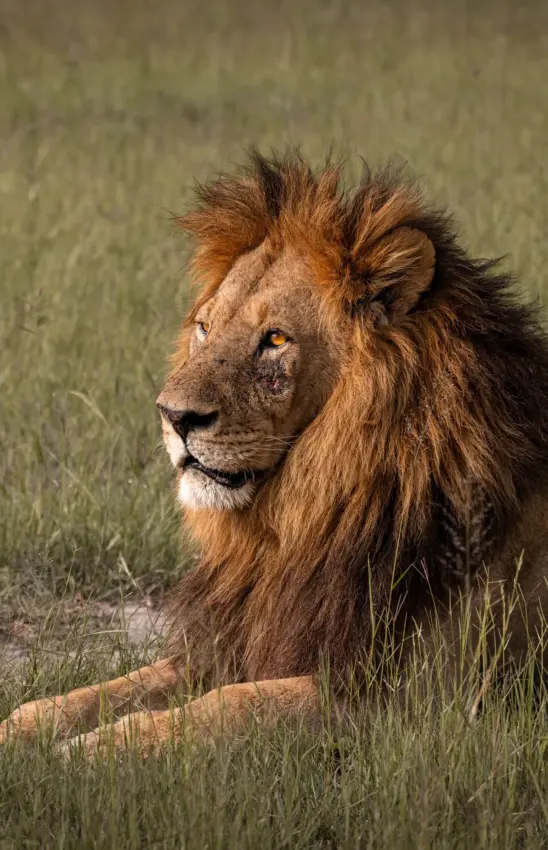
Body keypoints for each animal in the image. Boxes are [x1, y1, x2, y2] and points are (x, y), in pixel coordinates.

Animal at [3, 150, 548, 755]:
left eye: (277, 340)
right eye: (204, 327)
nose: (173, 416)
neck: (297, 522)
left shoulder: (415, 702)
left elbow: (230, 706)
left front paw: (89, 751)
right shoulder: (231, 643)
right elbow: (108, 689)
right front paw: (25, 730)